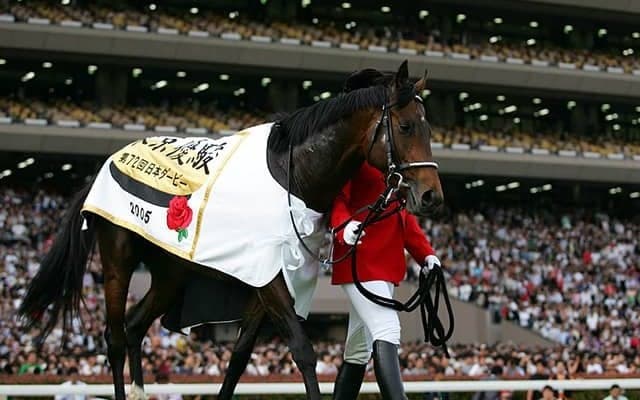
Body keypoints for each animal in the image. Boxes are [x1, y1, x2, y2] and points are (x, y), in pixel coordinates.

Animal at [17, 60, 444, 400]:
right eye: (406, 126)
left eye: (430, 130)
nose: (432, 197)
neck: (292, 177)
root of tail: (104, 167)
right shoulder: (268, 278)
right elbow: (303, 349)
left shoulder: (267, 277)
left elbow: (238, 358)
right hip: (118, 258)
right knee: (116, 336)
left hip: (173, 272)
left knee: (136, 325)